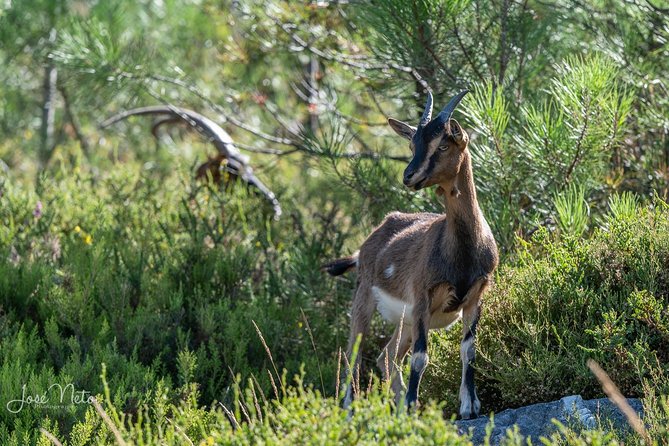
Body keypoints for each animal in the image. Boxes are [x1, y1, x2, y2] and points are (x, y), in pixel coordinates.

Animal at [324, 90, 496, 418]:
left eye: (443, 143)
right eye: (411, 143)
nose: (409, 176)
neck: (463, 252)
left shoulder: (475, 297)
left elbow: (469, 350)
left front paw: (469, 406)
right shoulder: (422, 299)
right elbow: (421, 358)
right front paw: (415, 406)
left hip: (403, 321)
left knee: (386, 357)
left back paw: (398, 407)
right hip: (364, 300)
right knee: (355, 354)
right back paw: (352, 409)